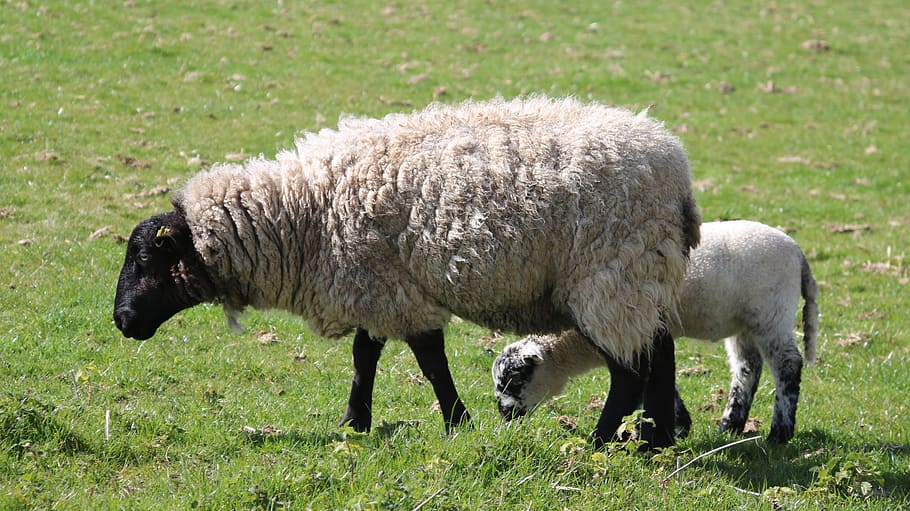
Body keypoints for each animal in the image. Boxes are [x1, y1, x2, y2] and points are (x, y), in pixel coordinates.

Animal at [113, 96, 701, 446]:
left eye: (143, 260)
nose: (121, 321)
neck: (302, 213)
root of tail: (676, 170)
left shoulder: (393, 290)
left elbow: (429, 361)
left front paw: (456, 423)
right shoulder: (376, 288)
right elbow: (365, 356)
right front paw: (355, 423)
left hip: (611, 277)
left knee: (629, 371)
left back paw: (600, 440)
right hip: (644, 276)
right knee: (659, 353)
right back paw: (655, 439)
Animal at [492, 220, 818, 444]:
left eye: (514, 381)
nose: (503, 413)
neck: (573, 343)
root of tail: (797, 253)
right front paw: (681, 425)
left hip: (771, 312)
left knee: (788, 364)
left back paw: (779, 433)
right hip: (745, 321)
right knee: (747, 366)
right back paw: (730, 425)